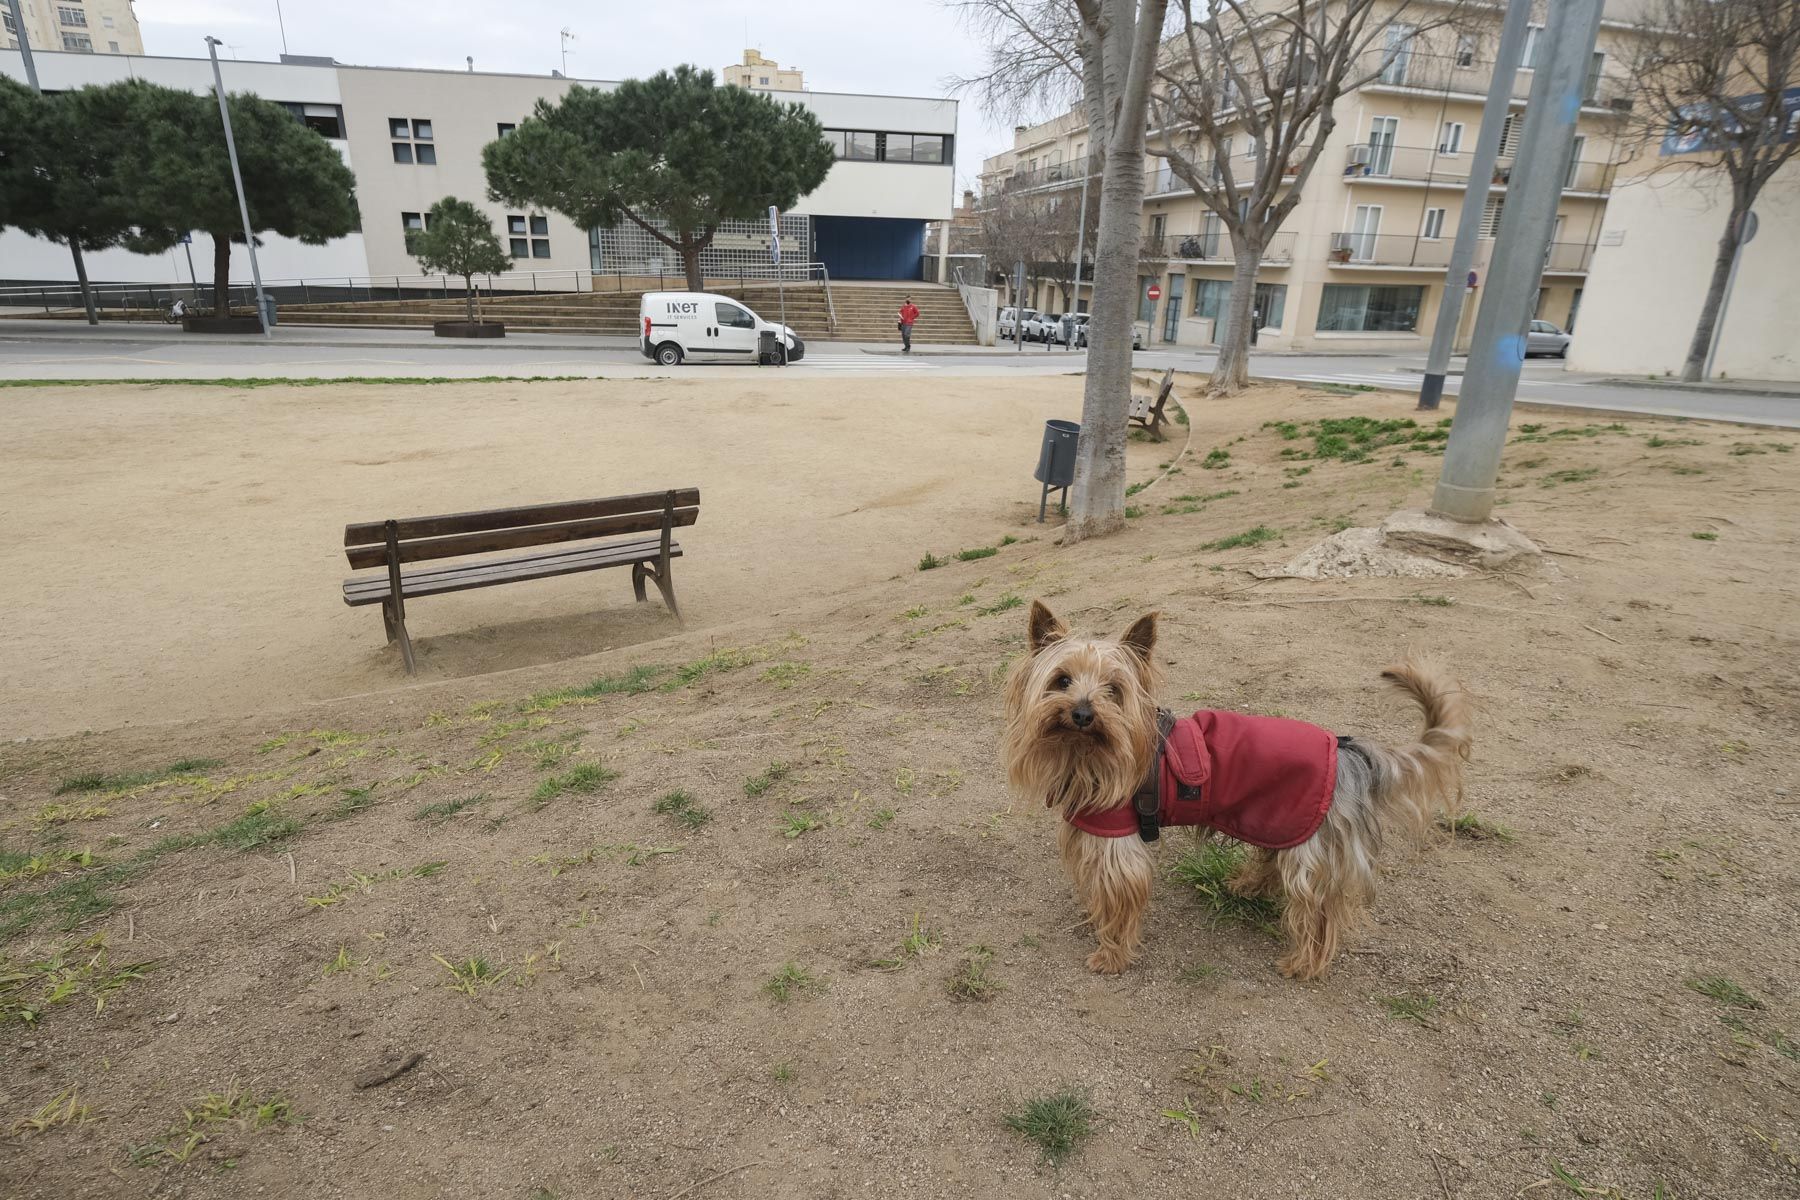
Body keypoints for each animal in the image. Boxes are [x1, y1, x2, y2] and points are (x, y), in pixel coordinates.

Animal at [1008, 604, 1468, 978]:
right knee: (1274, 860)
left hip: (1311, 845)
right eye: (1061, 680)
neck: (1082, 754)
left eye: (1114, 690)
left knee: (1318, 909)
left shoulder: (1117, 841)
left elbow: (1120, 901)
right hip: (1285, 820)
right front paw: (1093, 915)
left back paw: (1304, 963)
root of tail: (1347, 751)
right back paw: (1247, 885)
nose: (1083, 713)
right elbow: (1095, 887)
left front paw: (1111, 954)